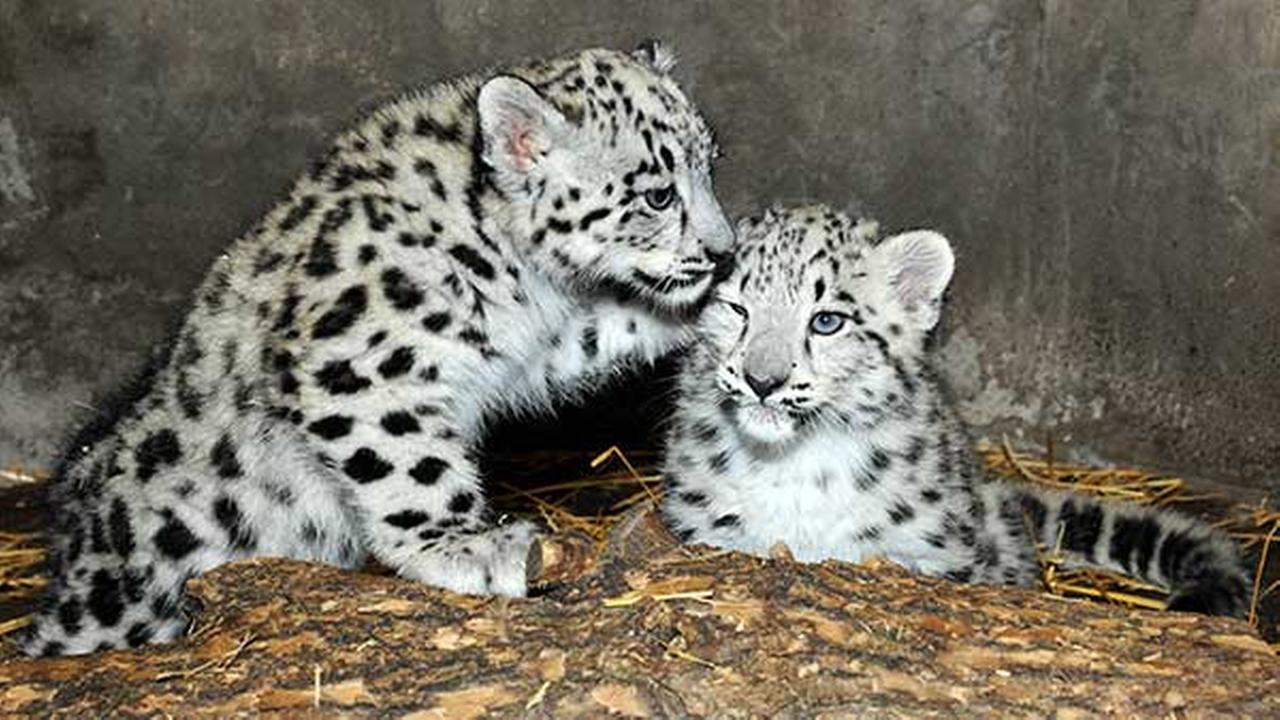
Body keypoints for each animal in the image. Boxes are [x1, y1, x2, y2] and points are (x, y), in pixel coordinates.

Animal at [23, 41, 734, 656]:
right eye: (658, 193)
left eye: (710, 167)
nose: (721, 252)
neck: (528, 283)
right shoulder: (358, 364)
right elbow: (409, 462)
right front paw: (466, 547)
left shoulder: (533, 347)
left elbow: (608, 325)